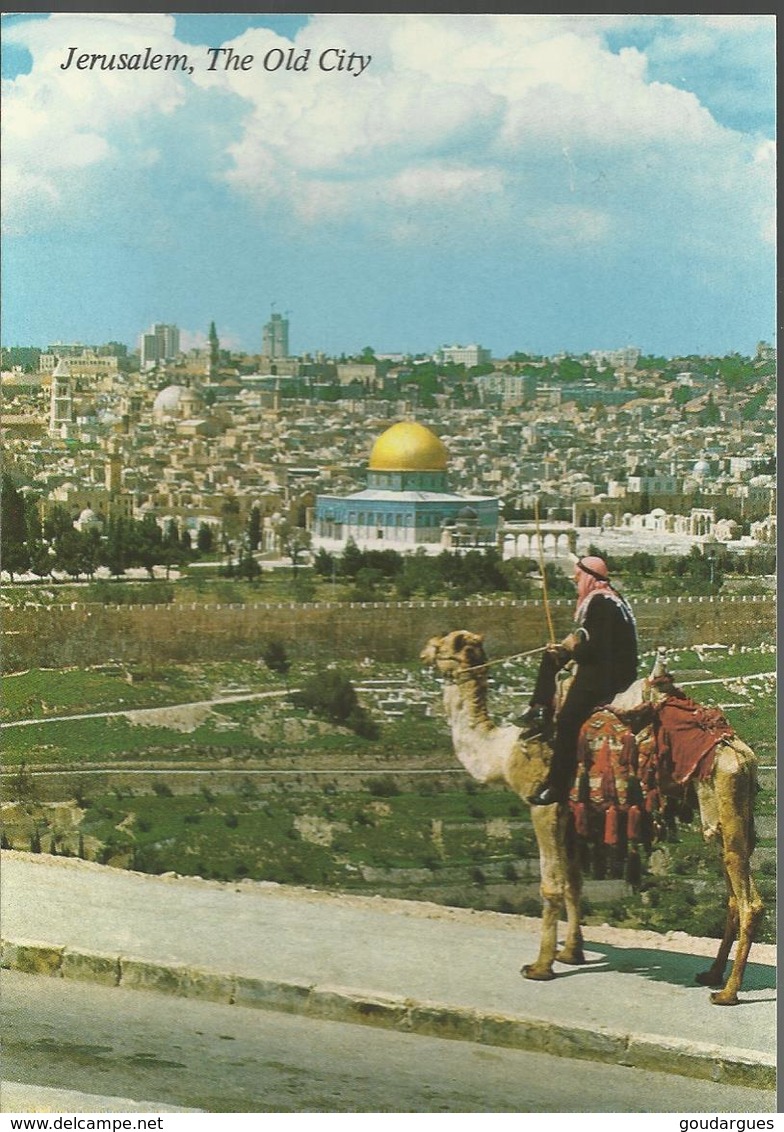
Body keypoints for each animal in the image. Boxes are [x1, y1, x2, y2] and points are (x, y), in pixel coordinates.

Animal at [423, 629, 764, 1009]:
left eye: (444, 644)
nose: (423, 653)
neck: (503, 753)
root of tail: (742, 753)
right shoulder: (572, 815)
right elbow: (574, 882)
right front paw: (571, 953)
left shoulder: (544, 806)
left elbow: (551, 886)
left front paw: (540, 967)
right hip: (724, 809)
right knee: (732, 888)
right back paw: (711, 974)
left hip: (726, 791)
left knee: (750, 901)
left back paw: (728, 992)